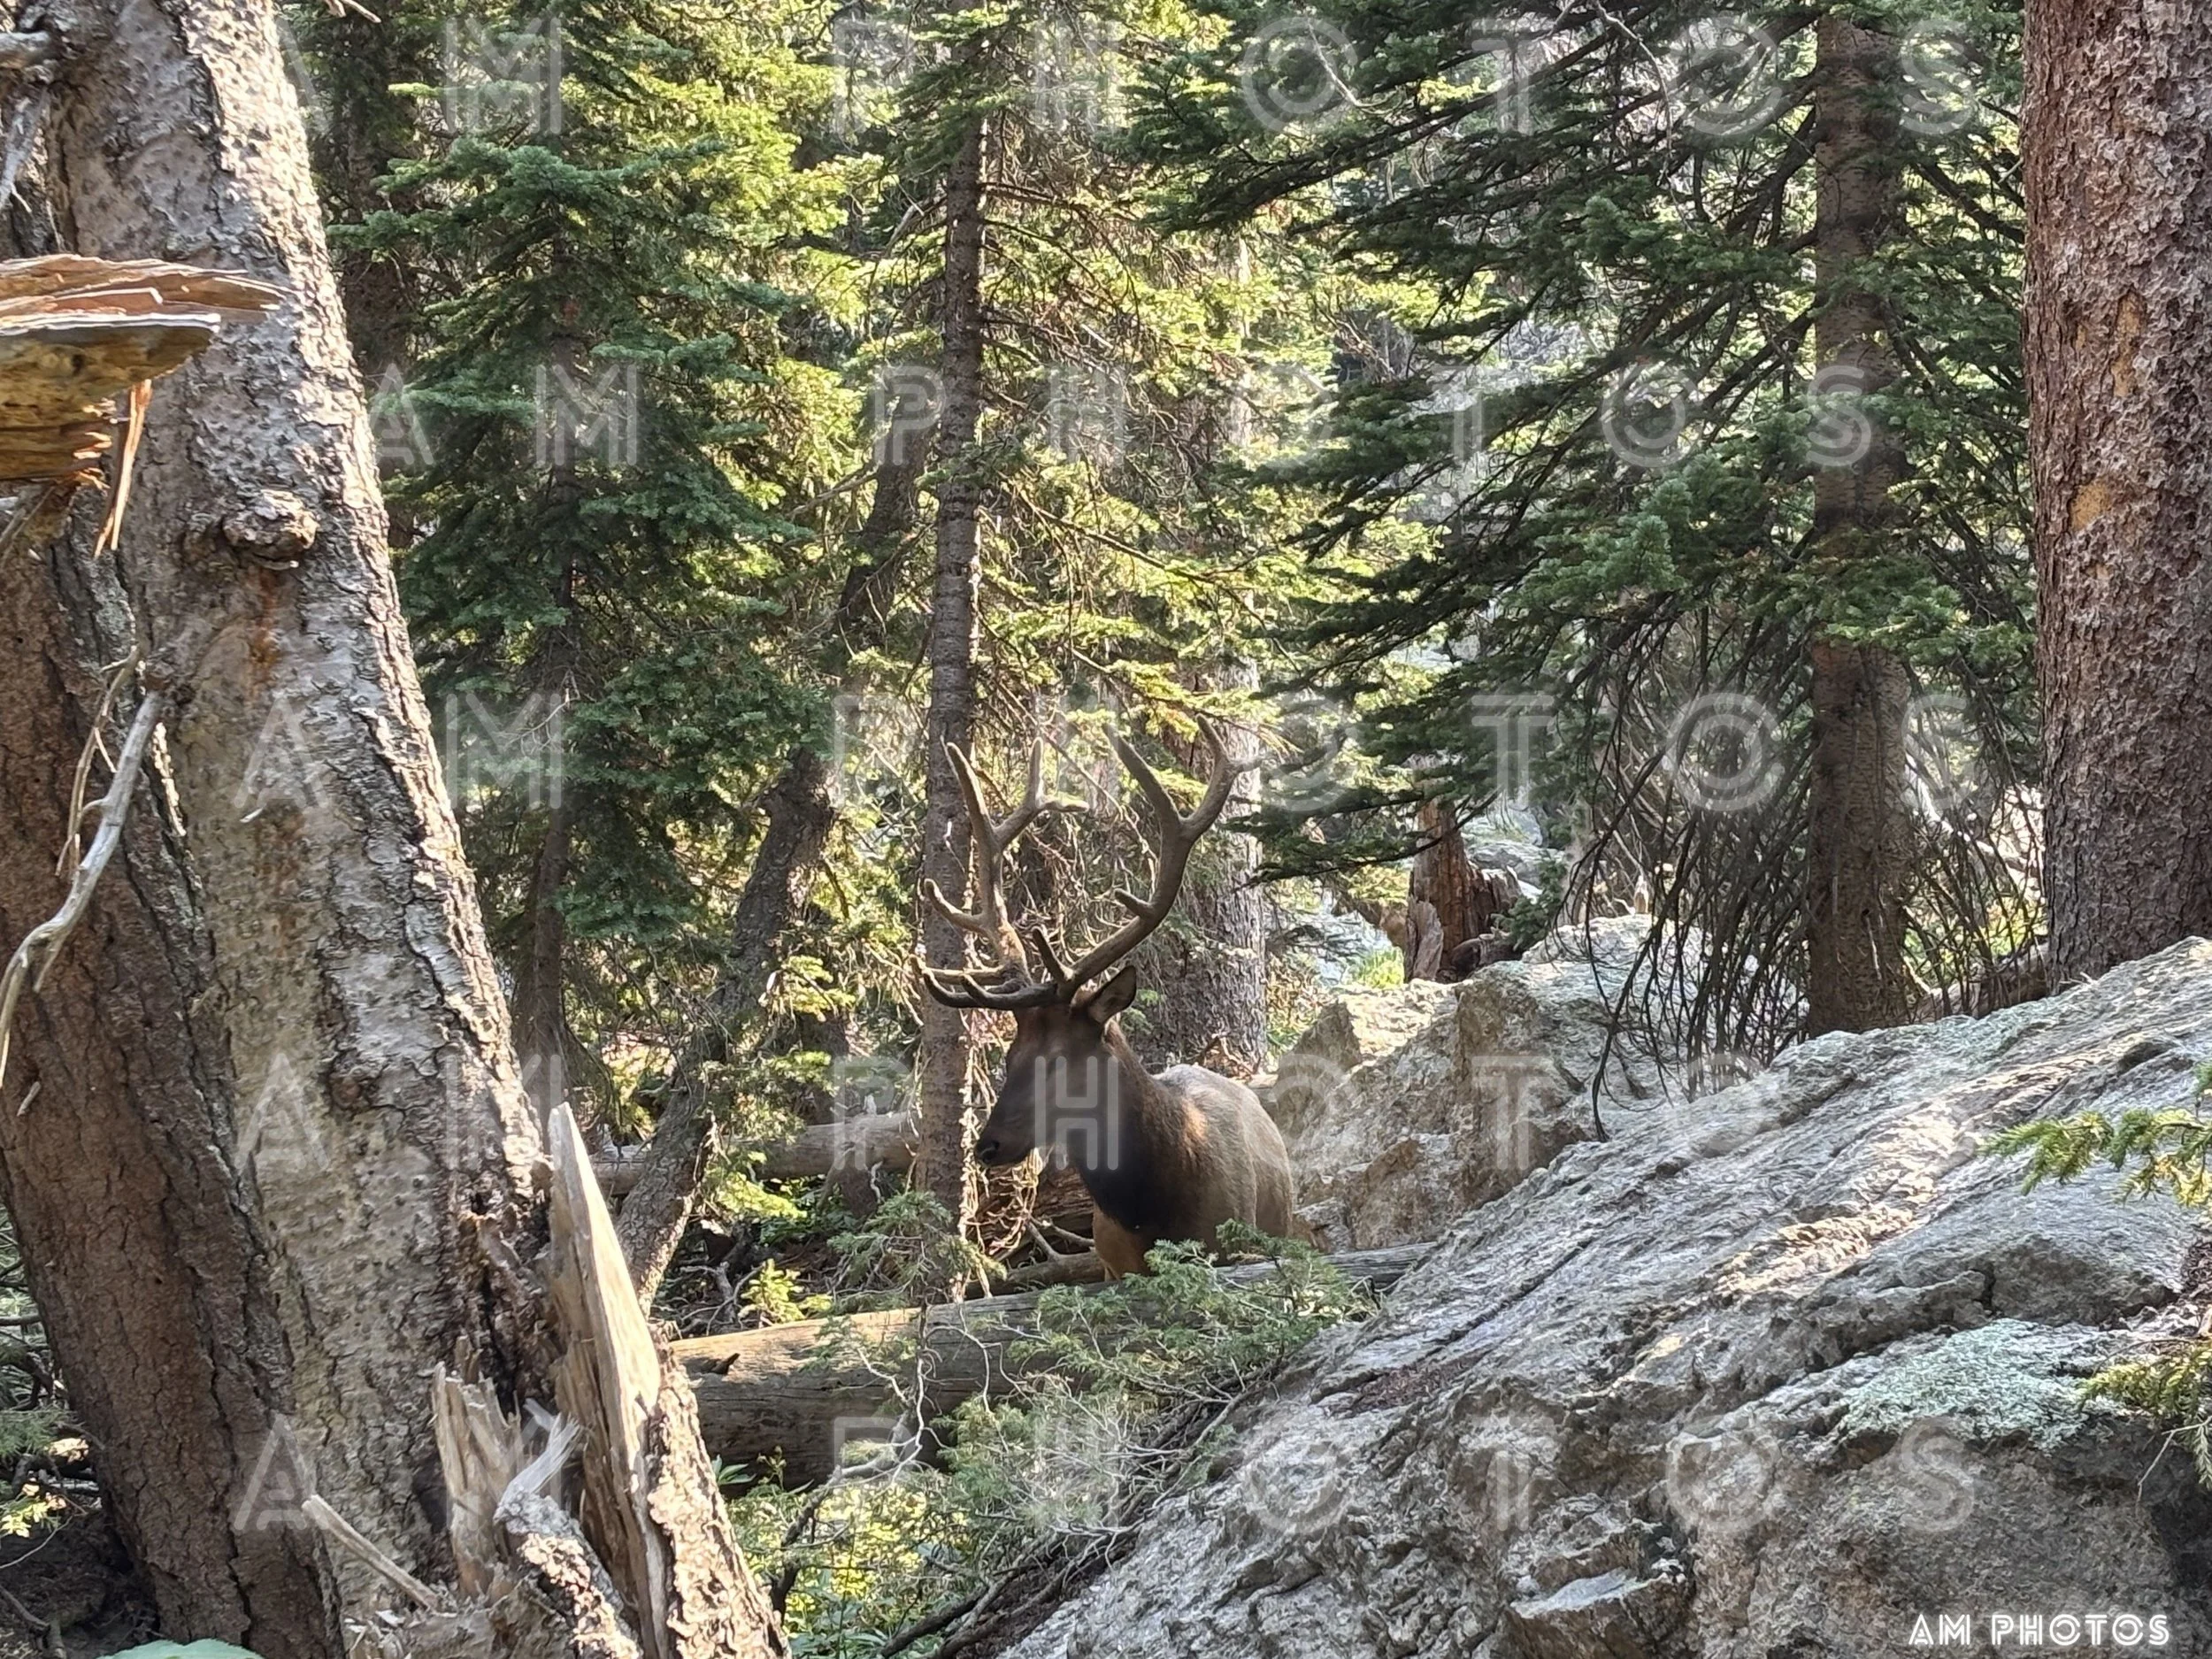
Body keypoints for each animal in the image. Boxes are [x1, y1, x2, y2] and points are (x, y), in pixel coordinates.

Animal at [919, 727, 1296, 1278]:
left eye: (1060, 1059)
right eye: (1010, 1056)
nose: (988, 1145)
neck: (1154, 1213)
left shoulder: (1230, 1248)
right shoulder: (1114, 1266)